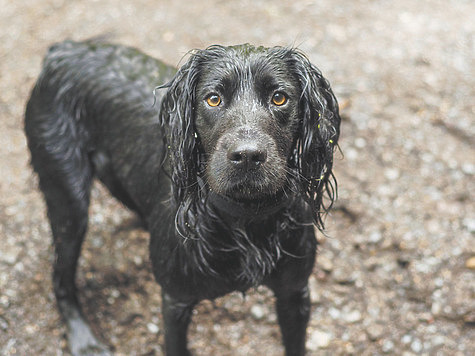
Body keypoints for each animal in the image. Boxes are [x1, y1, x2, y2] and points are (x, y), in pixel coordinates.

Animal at [24, 40, 340, 354]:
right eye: (213, 99)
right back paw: (83, 339)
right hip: (68, 197)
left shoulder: (295, 293)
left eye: (279, 98)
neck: (245, 220)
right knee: (61, 279)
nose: (248, 155)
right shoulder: (176, 301)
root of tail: (63, 50)